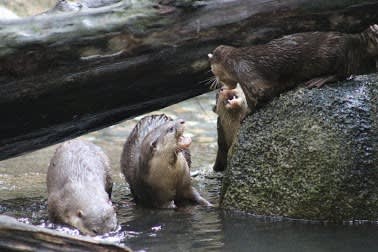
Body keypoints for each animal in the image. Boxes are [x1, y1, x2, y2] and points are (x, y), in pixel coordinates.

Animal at [208, 24, 378, 110]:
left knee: (345, 72)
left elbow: (263, 92)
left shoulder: (247, 72)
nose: (218, 84)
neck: (235, 61)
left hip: (338, 51)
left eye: (212, 70)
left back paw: (320, 80)